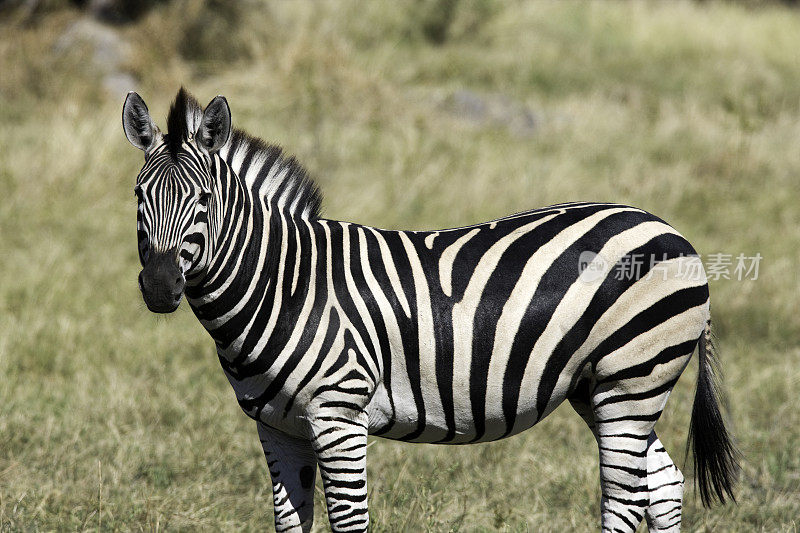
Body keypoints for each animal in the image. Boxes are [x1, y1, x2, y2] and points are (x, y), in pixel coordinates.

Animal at [120, 88, 736, 532]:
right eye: (137, 196)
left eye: (204, 201)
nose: (159, 288)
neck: (285, 285)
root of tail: (670, 230)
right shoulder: (276, 427)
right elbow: (290, 524)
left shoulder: (339, 416)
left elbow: (350, 522)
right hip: (599, 387)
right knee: (664, 487)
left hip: (632, 378)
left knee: (627, 501)